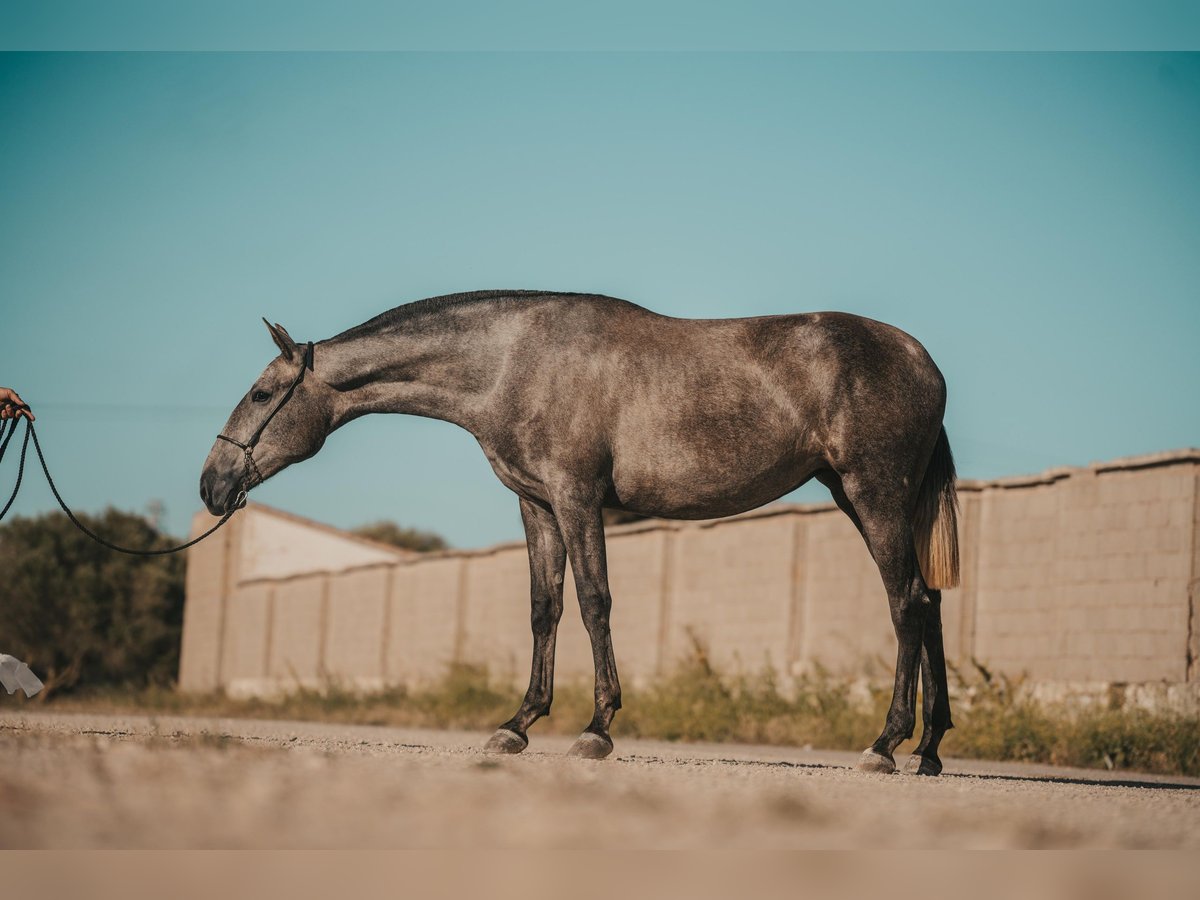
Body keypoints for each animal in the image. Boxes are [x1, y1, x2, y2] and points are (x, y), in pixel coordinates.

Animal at [201, 292, 960, 777]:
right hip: (856, 497)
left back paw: (885, 745)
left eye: (262, 394)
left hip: (873, 494)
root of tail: (924, 360)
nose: (211, 485)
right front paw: (516, 725)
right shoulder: (536, 505)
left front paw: (597, 730)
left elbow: (595, 603)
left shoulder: (576, 498)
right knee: (929, 605)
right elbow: (546, 608)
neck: (512, 361)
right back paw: (928, 750)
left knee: (905, 605)